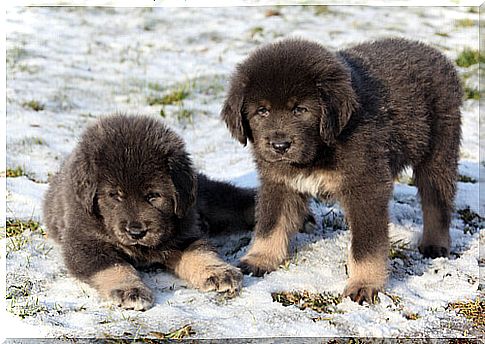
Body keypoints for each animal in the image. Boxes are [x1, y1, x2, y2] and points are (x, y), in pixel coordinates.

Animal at [42, 114, 255, 310]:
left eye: (153, 195)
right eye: (114, 195)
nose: (136, 232)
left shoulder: (183, 232)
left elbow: (200, 252)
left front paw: (219, 271)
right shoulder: (85, 244)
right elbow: (116, 267)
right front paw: (130, 289)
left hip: (206, 199)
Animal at [220, 37, 462, 304]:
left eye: (300, 110)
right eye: (262, 111)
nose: (280, 145)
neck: (319, 150)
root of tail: (438, 56)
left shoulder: (365, 185)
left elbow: (366, 246)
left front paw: (363, 284)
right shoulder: (278, 183)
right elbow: (270, 223)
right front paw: (260, 258)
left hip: (439, 152)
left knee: (436, 202)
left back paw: (434, 244)